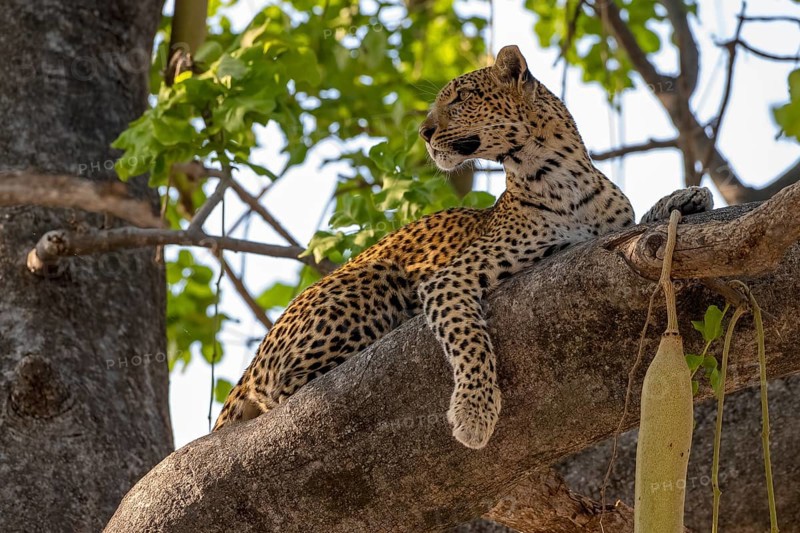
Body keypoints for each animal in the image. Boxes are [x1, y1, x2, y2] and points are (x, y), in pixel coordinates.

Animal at [213, 45, 713, 449]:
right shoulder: (448, 279)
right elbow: (470, 340)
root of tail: (252, 363)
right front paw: (474, 413)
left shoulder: (610, 229)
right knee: (284, 390)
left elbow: (640, 222)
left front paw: (687, 196)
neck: (562, 175)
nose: (424, 131)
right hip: (373, 276)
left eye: (460, 97)